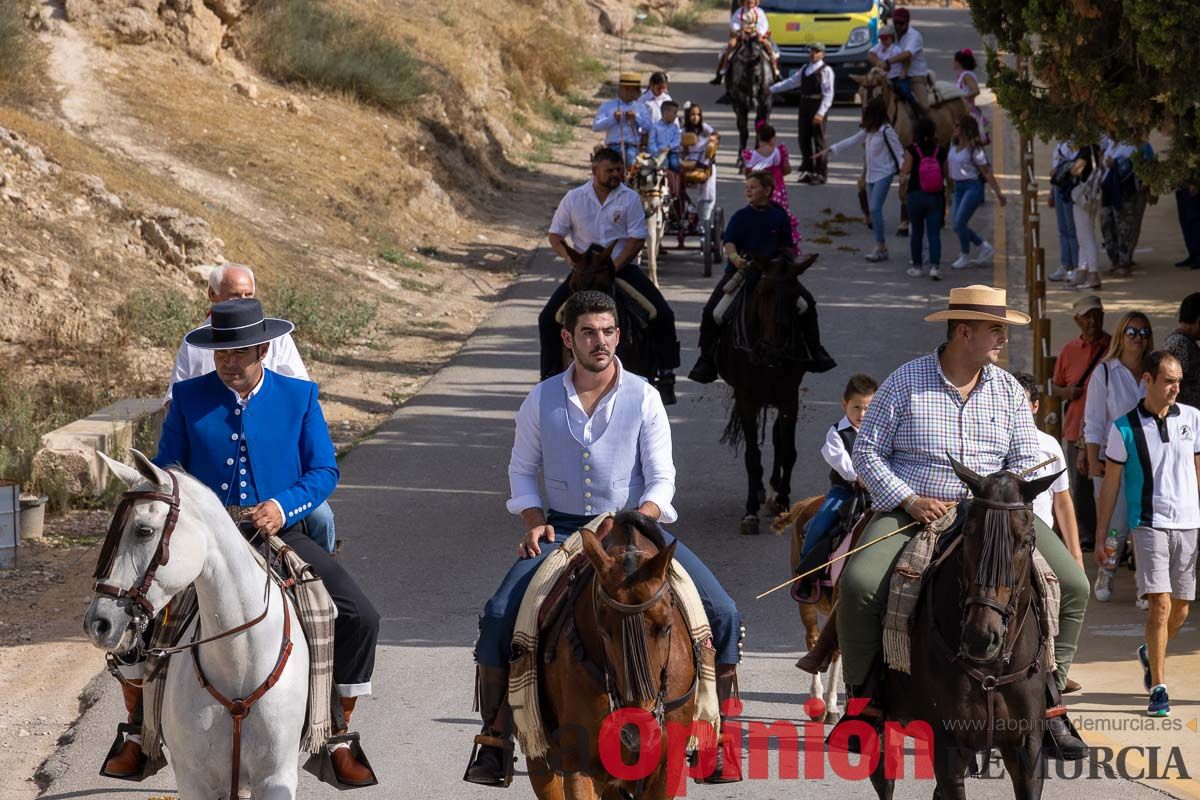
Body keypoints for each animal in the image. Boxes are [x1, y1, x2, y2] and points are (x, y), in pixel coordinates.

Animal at [715, 253, 820, 534]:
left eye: (795, 295)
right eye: (763, 292)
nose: (775, 353)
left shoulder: (789, 398)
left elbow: (788, 450)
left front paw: (782, 500)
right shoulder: (746, 398)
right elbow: (752, 456)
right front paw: (750, 512)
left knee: (777, 439)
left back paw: (772, 492)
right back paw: (762, 492)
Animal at [868, 462, 1065, 800]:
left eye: (1025, 541)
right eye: (970, 535)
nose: (980, 638)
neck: (993, 669)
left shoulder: (1026, 745)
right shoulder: (948, 741)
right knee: (884, 779)